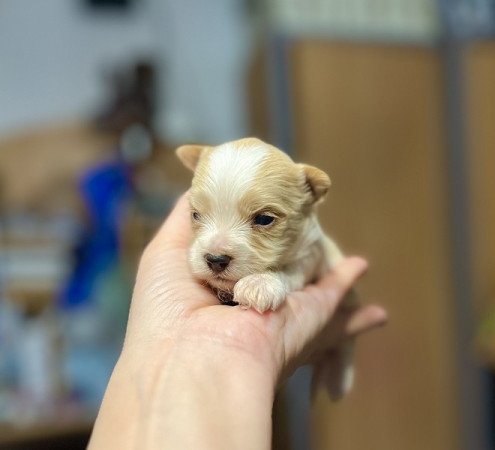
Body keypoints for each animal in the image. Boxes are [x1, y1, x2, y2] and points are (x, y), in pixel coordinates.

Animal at [178, 137, 356, 398]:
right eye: (195, 215)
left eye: (264, 219)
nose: (215, 259)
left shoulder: (312, 253)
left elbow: (290, 271)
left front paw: (260, 283)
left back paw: (339, 379)